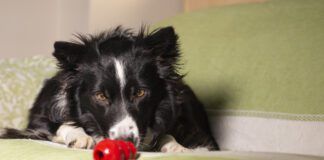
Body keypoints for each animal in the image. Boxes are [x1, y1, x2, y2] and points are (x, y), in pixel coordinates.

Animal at [0, 26, 219, 152]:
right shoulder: (39, 119)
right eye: (100, 96)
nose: (125, 141)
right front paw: (81, 136)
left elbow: (168, 133)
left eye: (140, 93)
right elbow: (59, 124)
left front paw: (176, 147)